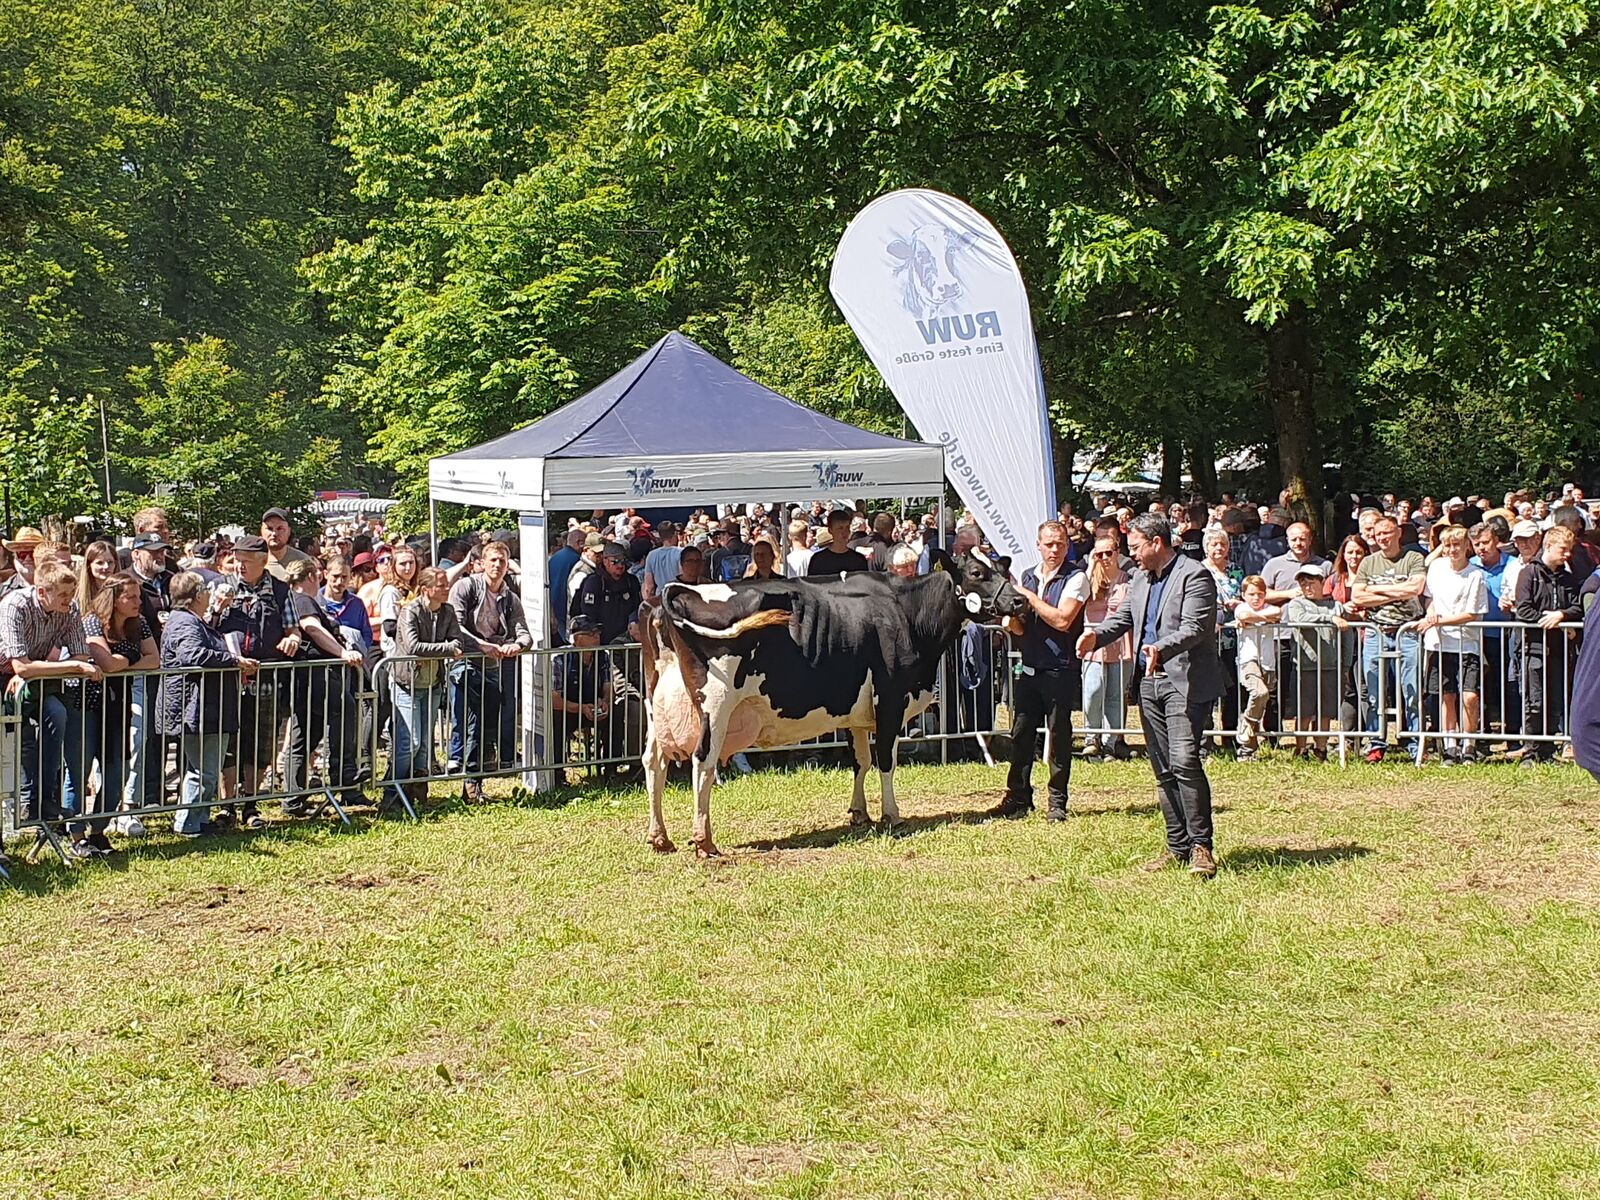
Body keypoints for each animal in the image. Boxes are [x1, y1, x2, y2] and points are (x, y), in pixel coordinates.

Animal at [636, 550, 1024, 857]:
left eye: (1000, 568)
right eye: (977, 573)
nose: (1018, 601)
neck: (906, 612)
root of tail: (672, 593)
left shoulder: (856, 713)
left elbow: (860, 761)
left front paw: (859, 813)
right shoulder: (891, 699)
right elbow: (886, 761)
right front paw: (892, 814)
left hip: (656, 707)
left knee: (653, 762)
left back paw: (660, 838)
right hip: (714, 705)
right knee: (703, 763)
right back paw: (704, 841)